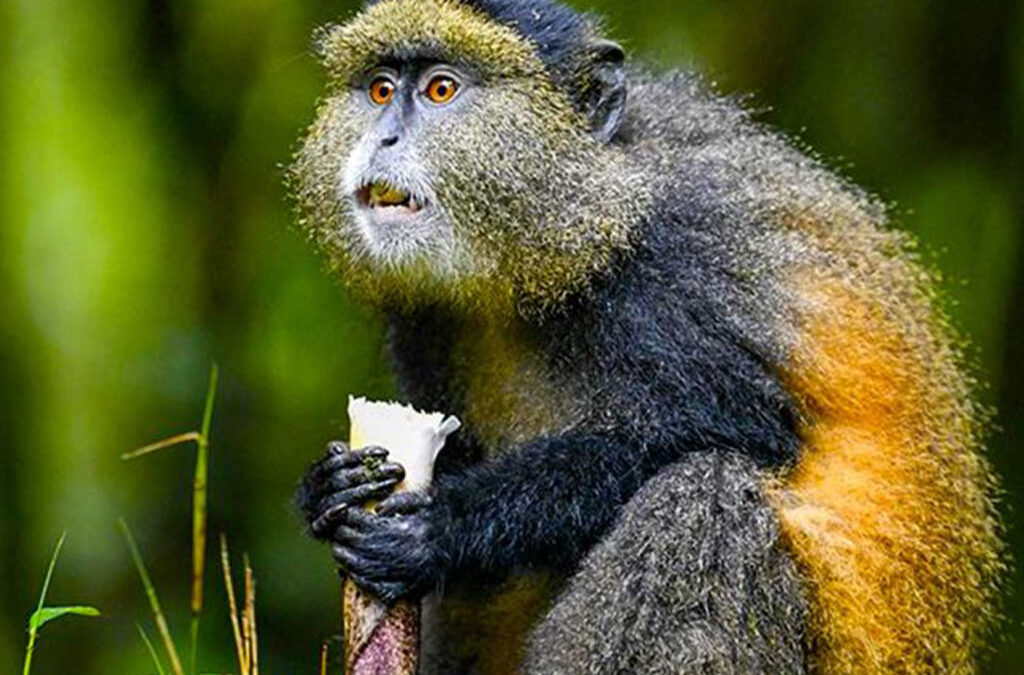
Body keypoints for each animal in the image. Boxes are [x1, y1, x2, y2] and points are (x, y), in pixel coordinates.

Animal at [289, 0, 1006, 672]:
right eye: (381, 89)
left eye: (441, 89)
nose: (384, 136)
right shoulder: (423, 319)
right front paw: (329, 489)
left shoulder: (675, 258)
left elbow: (742, 429)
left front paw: (440, 527)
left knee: (708, 493)